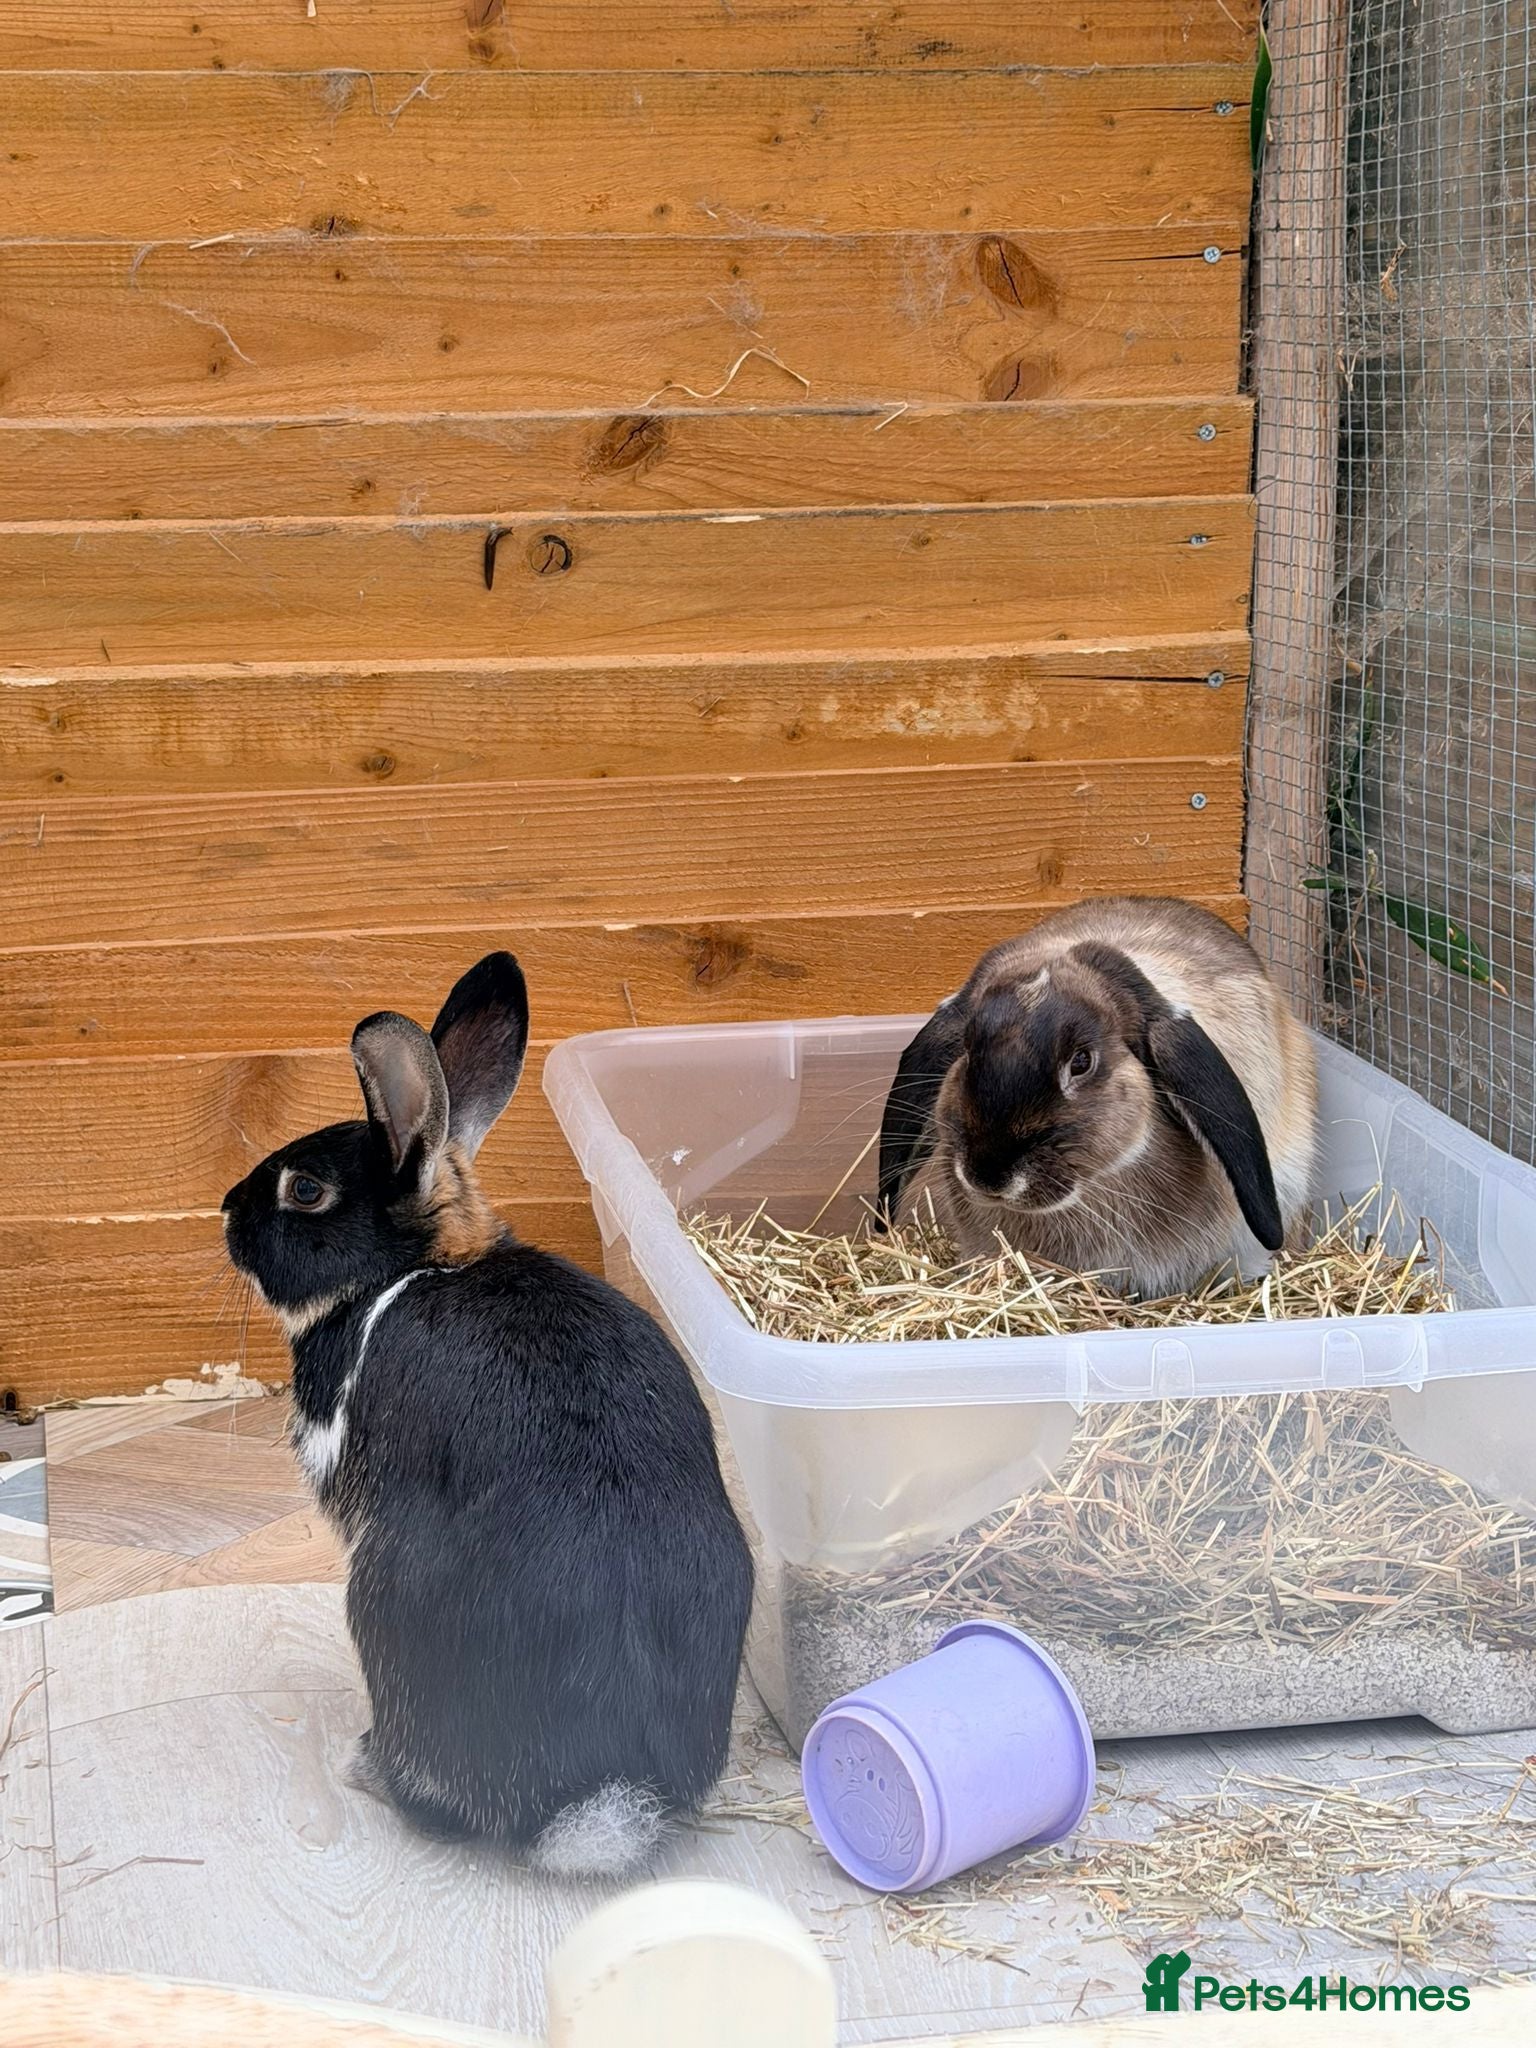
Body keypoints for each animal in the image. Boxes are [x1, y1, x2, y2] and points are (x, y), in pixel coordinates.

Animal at [221, 953, 753, 1878]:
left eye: (306, 1189)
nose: (224, 1210)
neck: (413, 1268)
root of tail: (595, 1803)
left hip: (381, 1597)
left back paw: (365, 1765)